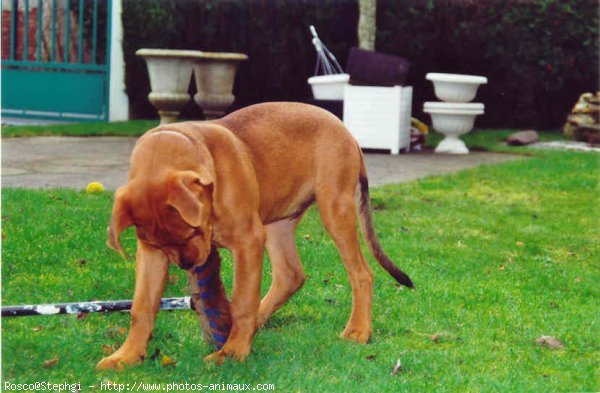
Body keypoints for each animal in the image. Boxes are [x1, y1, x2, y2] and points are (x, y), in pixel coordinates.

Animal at [96, 100, 412, 368]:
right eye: (162, 245)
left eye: (191, 231)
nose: (188, 265)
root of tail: (346, 131)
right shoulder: (150, 254)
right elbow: (142, 306)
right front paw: (126, 355)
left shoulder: (247, 241)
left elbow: (242, 301)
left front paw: (233, 352)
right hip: (277, 223)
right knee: (290, 275)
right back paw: (257, 323)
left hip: (335, 208)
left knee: (361, 274)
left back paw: (358, 330)